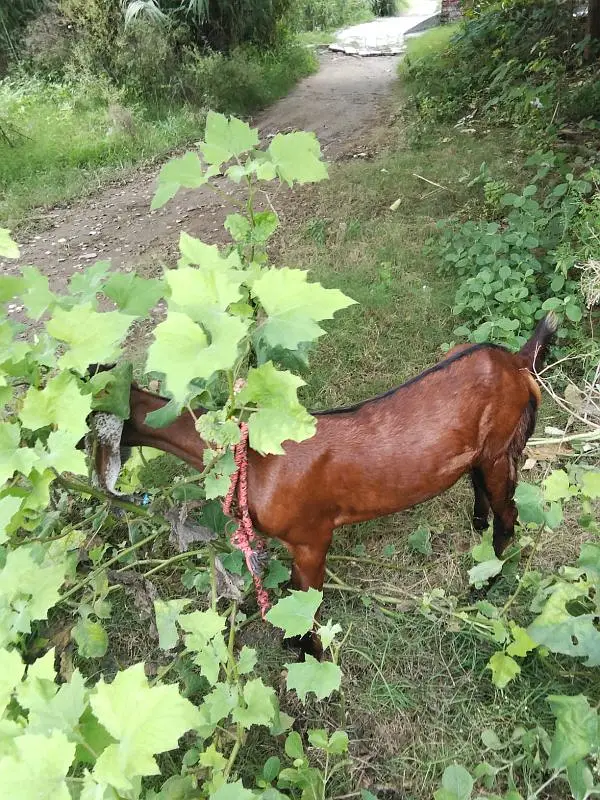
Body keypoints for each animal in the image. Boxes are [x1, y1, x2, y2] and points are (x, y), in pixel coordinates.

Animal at [87, 313, 557, 657]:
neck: (257, 460)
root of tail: (516, 362)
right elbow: (292, 596)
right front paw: (290, 642)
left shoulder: (312, 537)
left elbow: (307, 603)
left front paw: (310, 655)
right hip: (484, 450)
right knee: (480, 489)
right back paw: (476, 530)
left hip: (500, 446)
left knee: (510, 514)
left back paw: (483, 585)